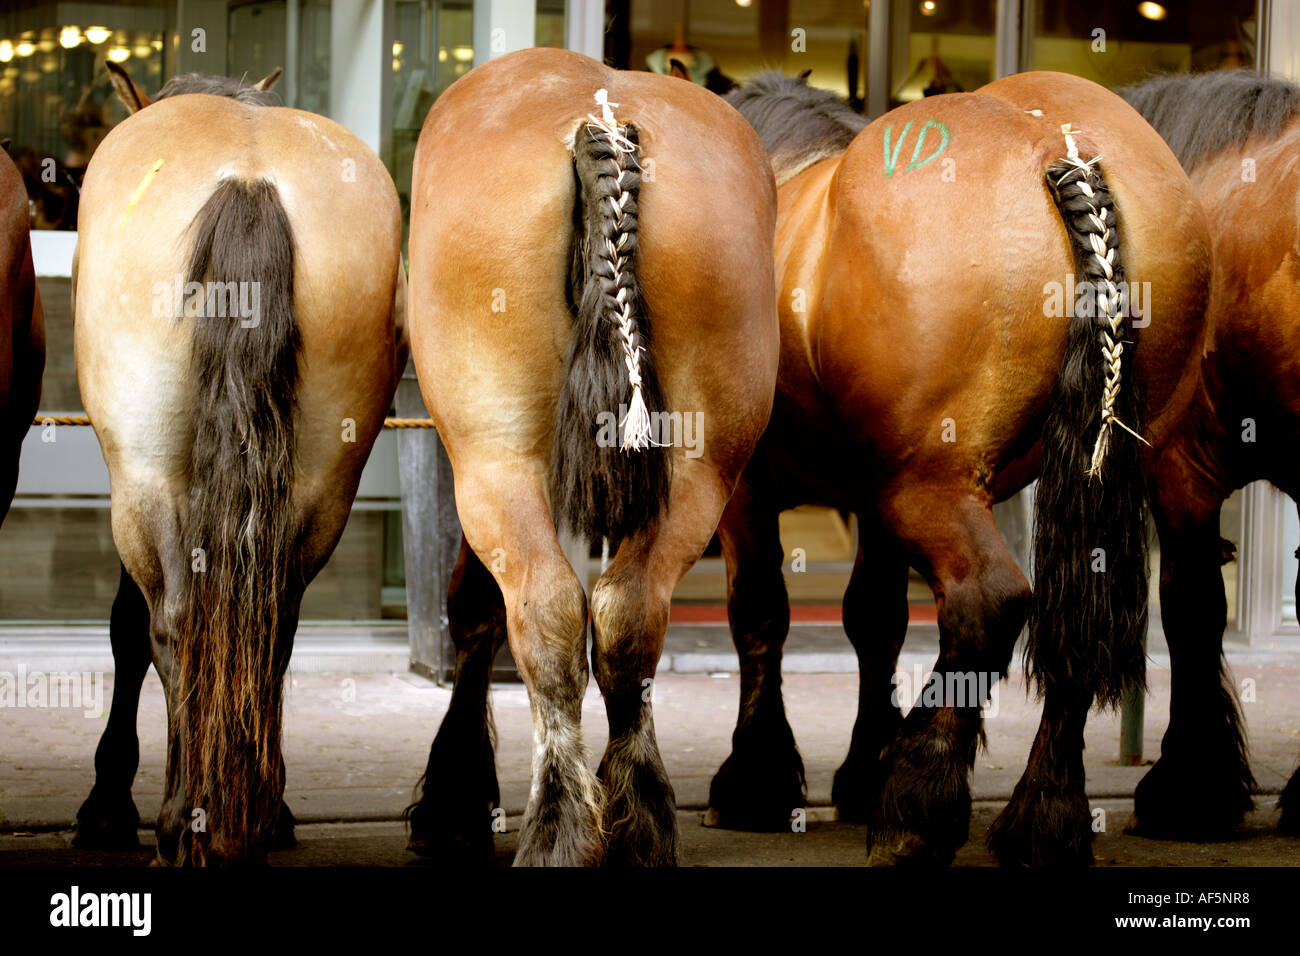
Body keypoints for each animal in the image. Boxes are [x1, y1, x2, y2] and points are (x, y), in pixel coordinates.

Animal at [70, 62, 407, 864]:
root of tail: (250, 178)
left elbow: (130, 627)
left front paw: (108, 800)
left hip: (146, 475)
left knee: (176, 623)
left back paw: (183, 819)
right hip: (322, 483)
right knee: (269, 622)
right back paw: (251, 815)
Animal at [404, 46, 779, 866]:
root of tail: (601, 122)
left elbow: (475, 610)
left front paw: (454, 798)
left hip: (495, 457)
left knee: (544, 609)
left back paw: (556, 825)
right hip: (699, 468)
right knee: (628, 612)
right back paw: (637, 820)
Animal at [701, 71, 1211, 866]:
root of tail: (1062, 151)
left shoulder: (749, 492)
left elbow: (760, 613)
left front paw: (758, 779)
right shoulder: (869, 499)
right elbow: (872, 619)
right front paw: (860, 765)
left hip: (930, 486)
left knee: (988, 602)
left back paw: (918, 804)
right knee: (1075, 629)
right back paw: (1044, 817)